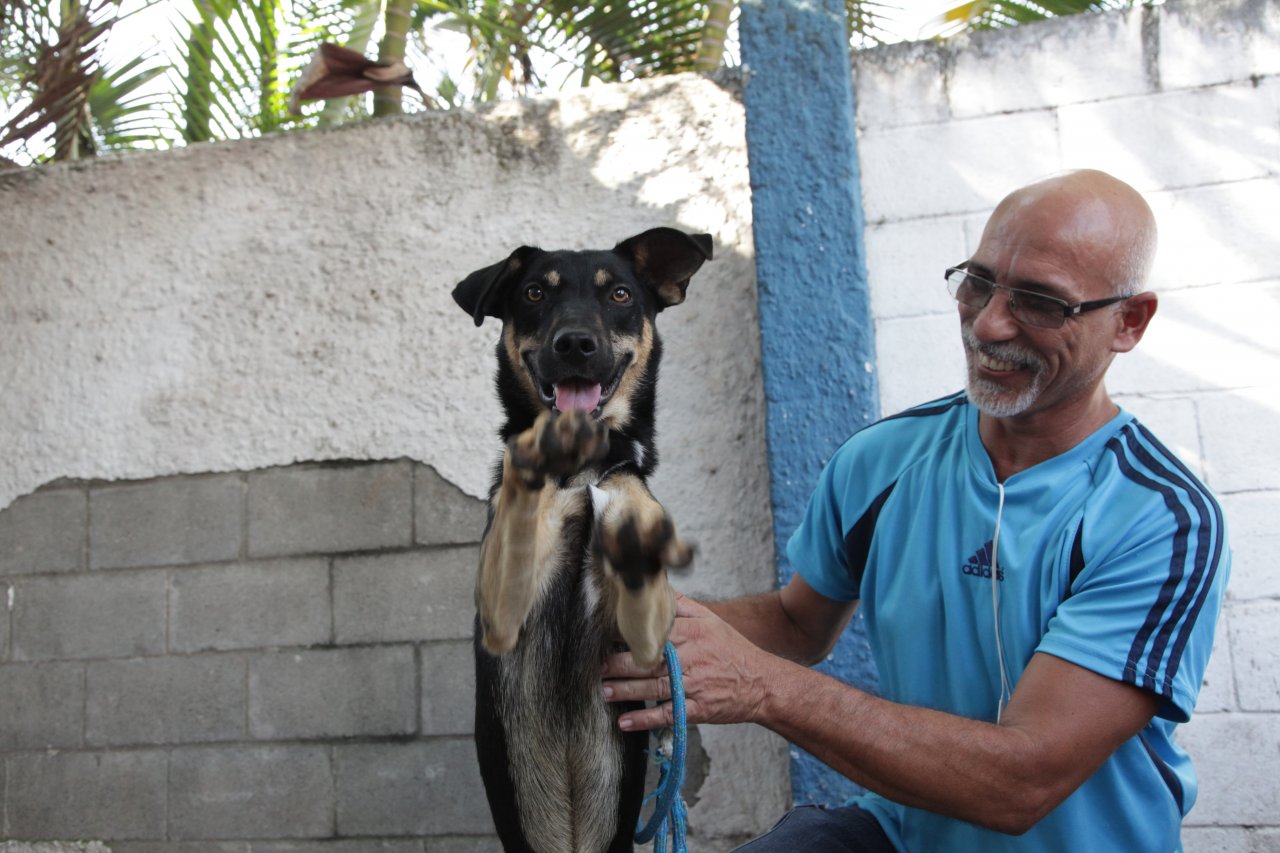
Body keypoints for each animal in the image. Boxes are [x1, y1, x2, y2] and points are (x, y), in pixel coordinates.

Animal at [453, 227, 716, 850]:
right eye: (533, 293)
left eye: (619, 293)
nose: (575, 344)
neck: (579, 473)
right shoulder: (501, 613)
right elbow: (519, 502)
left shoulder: (647, 642)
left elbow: (632, 497)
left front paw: (635, 521)